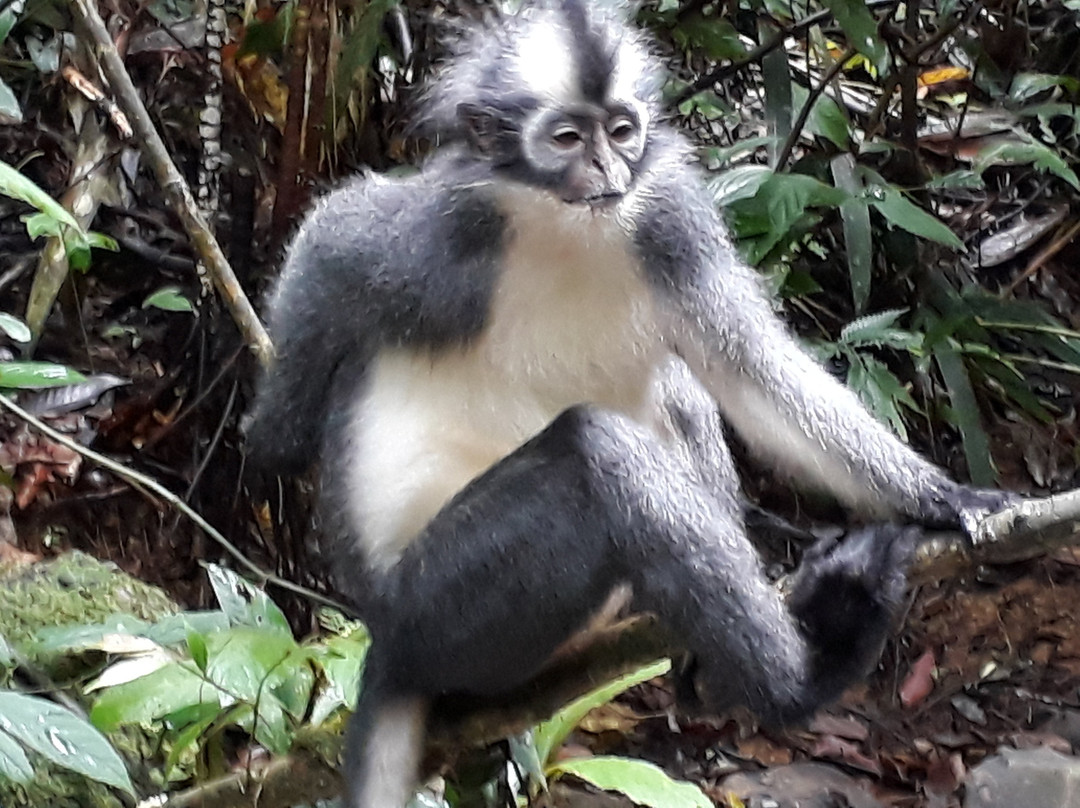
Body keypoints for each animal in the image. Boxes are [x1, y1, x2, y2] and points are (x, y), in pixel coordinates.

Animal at [245, 2, 1012, 806]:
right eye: (566, 139)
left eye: (620, 131)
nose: (609, 172)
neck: (565, 227)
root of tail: (388, 646)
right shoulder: (440, 234)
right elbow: (330, 241)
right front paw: (271, 435)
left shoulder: (670, 224)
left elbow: (754, 373)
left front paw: (946, 497)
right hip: (437, 612)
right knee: (596, 452)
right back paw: (803, 678)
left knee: (674, 393)